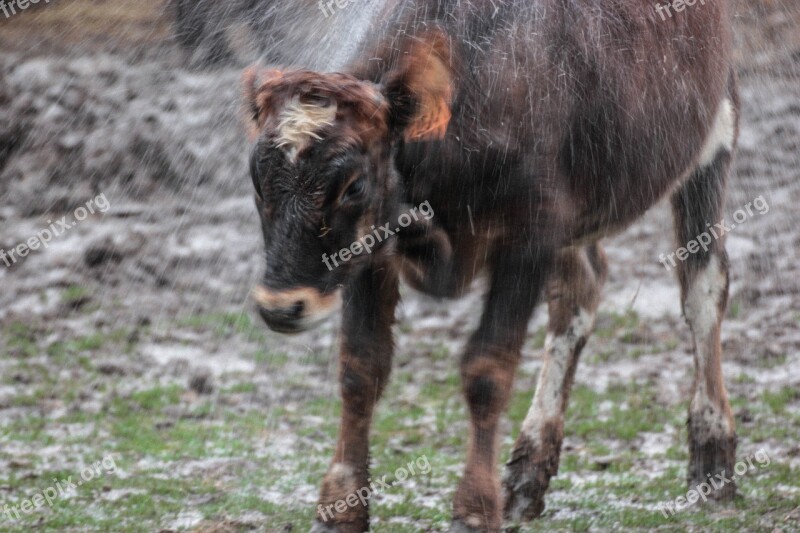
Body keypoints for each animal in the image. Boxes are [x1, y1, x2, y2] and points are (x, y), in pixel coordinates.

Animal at [242, 0, 736, 528]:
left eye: (353, 186)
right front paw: (340, 506)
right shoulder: (372, 255)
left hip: (713, 141)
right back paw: (527, 474)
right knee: (579, 294)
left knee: (703, 290)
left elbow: (487, 370)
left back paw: (713, 459)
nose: (281, 306)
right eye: (257, 179)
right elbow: (360, 368)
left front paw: (474, 510)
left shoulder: (530, 238)